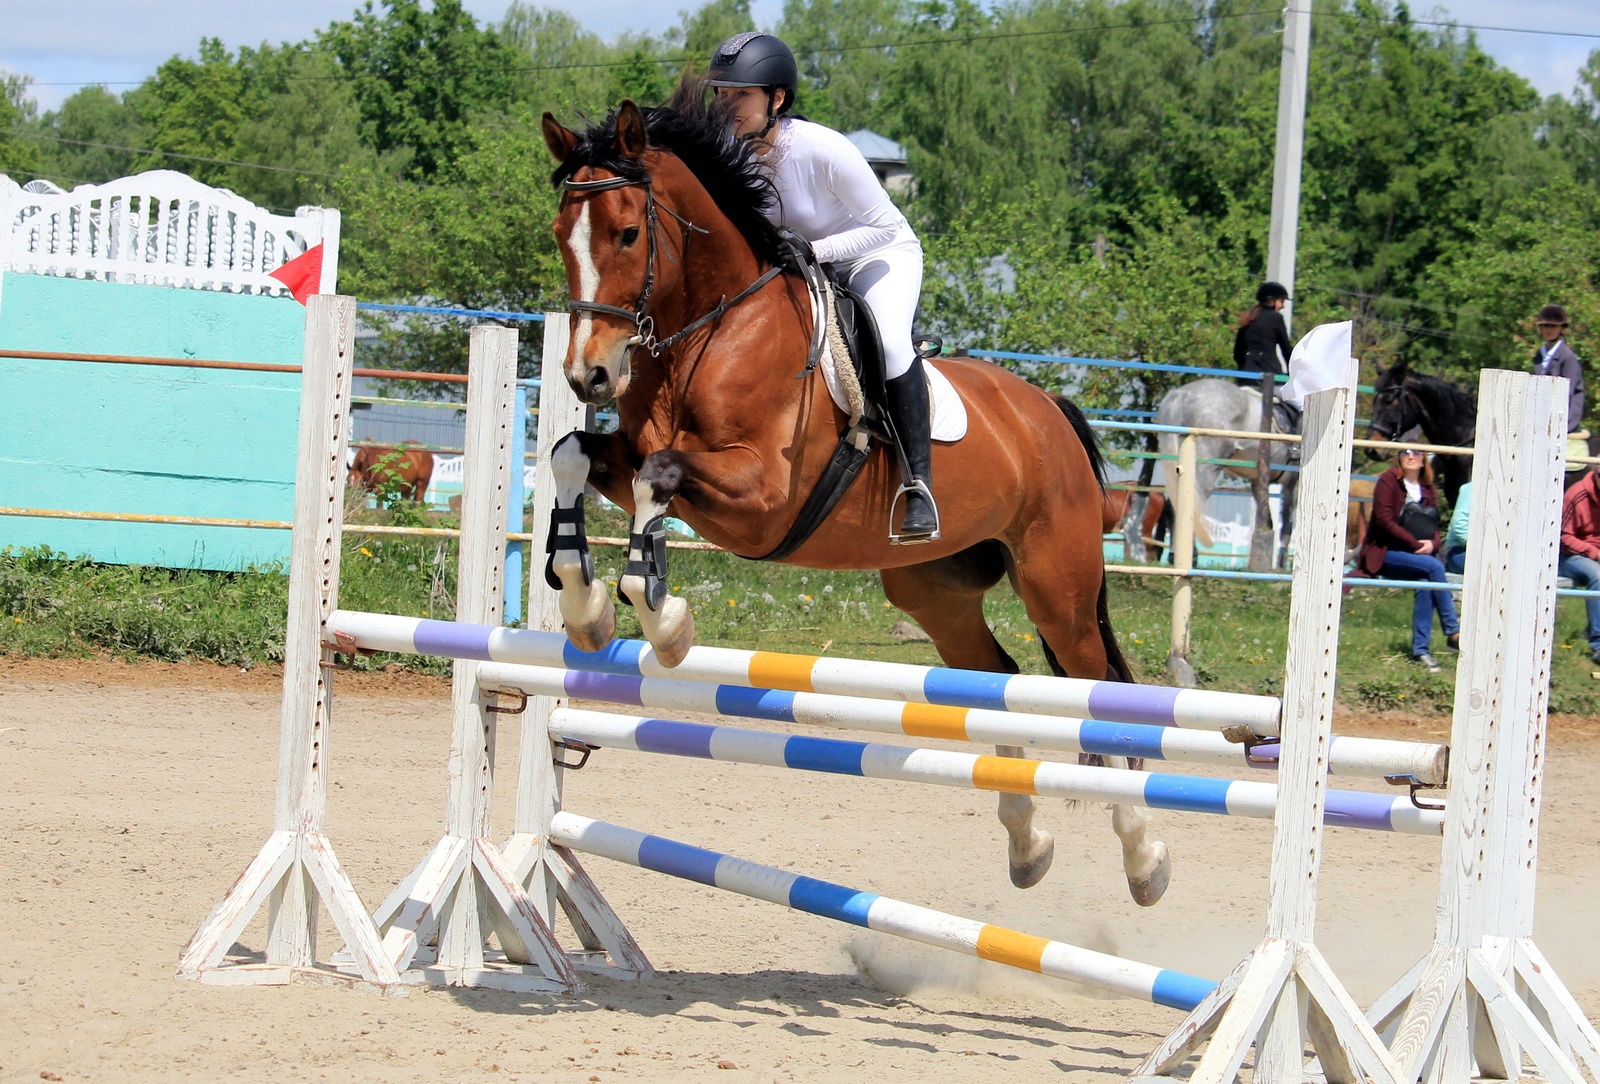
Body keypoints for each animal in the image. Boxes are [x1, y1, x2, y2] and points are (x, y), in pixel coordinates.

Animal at [537, 95, 1177, 908]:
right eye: (562, 235)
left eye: (626, 232)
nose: (587, 376)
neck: (714, 329)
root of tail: (1048, 410)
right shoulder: (630, 457)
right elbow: (573, 454)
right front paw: (583, 605)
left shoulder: (761, 498)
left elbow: (659, 476)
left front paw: (664, 617)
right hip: (932, 590)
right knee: (994, 674)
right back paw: (1028, 843)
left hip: (1056, 587)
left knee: (1097, 694)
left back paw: (1145, 858)